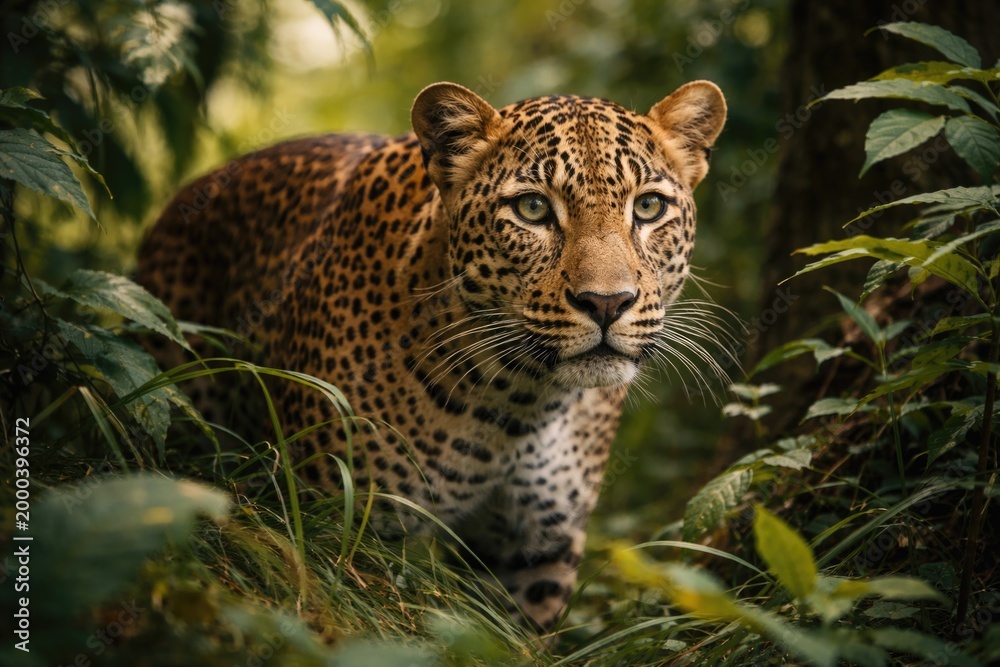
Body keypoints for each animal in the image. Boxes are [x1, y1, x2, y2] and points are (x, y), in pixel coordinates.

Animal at [135, 80, 727, 633]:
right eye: (533, 208)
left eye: (648, 206)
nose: (607, 302)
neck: (519, 402)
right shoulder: (340, 527)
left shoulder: (534, 550)